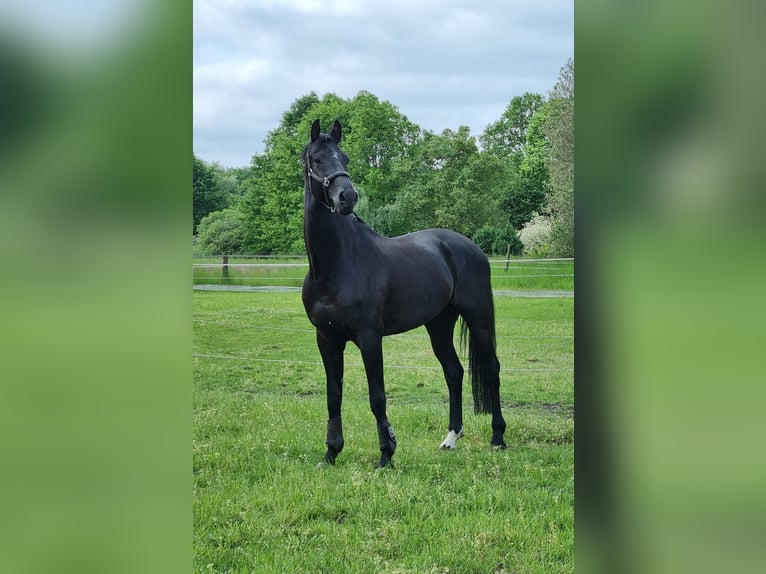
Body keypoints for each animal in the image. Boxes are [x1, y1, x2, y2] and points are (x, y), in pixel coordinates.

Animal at [304, 120, 508, 468]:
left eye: (344, 158)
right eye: (317, 159)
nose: (347, 197)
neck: (335, 265)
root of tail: (468, 246)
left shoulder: (369, 337)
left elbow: (377, 396)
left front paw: (386, 454)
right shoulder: (326, 339)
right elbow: (333, 396)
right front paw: (331, 453)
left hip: (478, 316)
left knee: (491, 369)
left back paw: (498, 438)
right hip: (439, 324)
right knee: (454, 372)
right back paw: (450, 438)